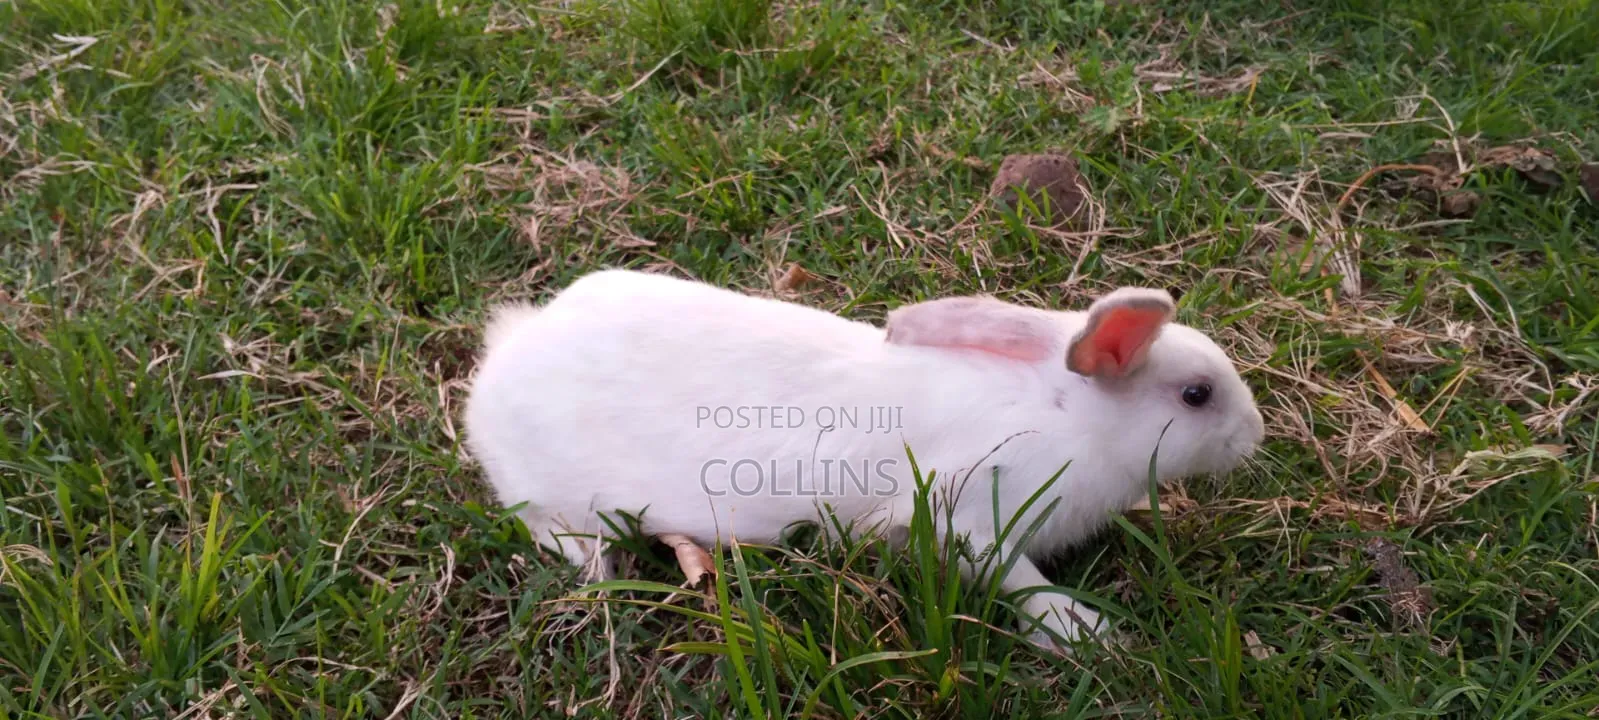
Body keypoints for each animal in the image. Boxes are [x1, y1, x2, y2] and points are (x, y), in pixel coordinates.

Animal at [462, 268, 1265, 650]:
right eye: (1197, 395)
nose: (1254, 435)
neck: (1069, 419)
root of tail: (501, 362)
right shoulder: (970, 515)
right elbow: (1015, 579)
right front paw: (1085, 633)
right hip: (555, 497)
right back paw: (605, 569)